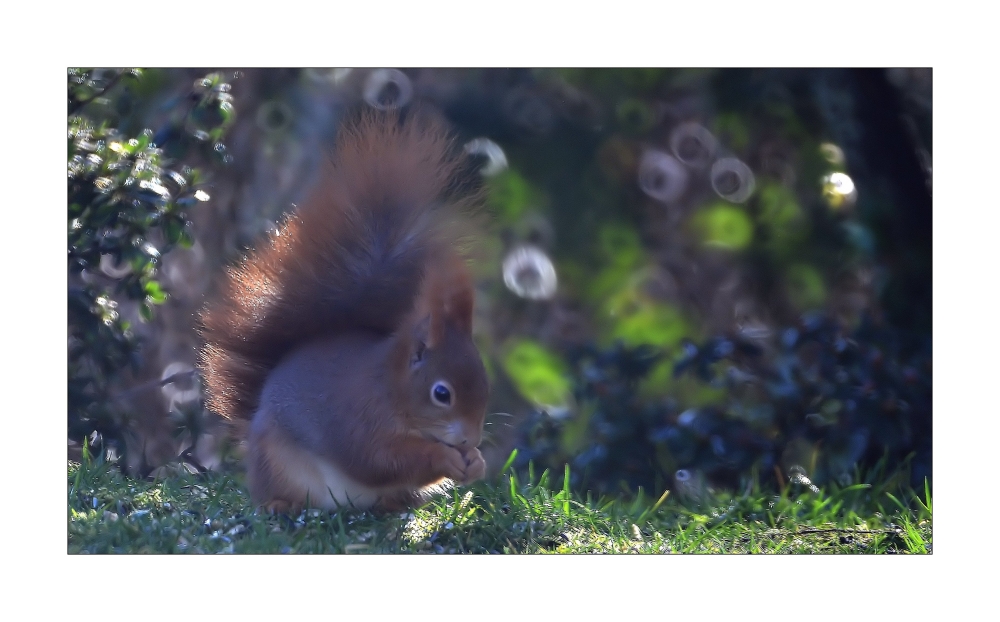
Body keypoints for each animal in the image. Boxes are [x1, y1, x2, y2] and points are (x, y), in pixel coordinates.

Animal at [198, 109, 488, 516]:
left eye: (485, 383)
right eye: (441, 393)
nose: (470, 439)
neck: (391, 389)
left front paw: (476, 461)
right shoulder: (357, 418)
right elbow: (377, 460)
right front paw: (445, 458)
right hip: (276, 463)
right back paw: (279, 504)